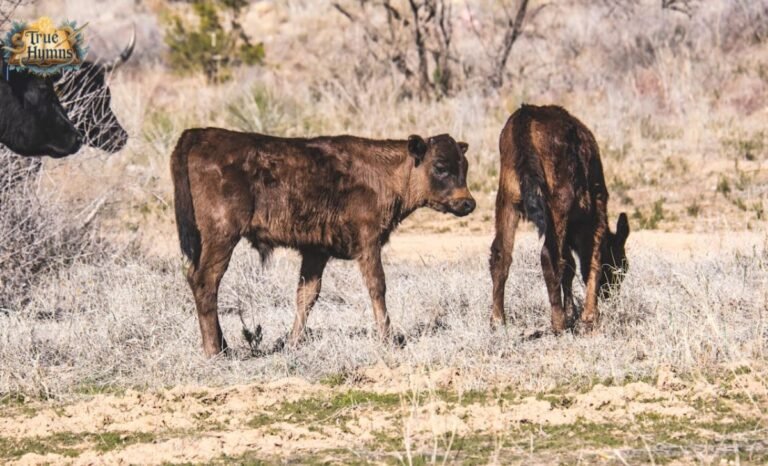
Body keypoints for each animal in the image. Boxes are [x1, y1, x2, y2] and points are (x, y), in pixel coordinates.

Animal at [171, 128, 475, 357]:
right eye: (440, 166)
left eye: (465, 166)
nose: (468, 203)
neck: (386, 172)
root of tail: (198, 134)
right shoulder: (368, 242)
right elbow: (377, 287)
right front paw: (388, 339)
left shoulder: (316, 252)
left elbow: (306, 295)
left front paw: (293, 343)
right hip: (221, 237)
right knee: (205, 281)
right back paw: (215, 351)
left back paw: (223, 346)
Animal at [489, 105, 629, 334]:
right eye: (620, 266)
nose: (609, 293)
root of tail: (524, 116)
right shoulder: (597, 207)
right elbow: (592, 260)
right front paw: (588, 318)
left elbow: (569, 266)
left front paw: (572, 312)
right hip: (558, 201)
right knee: (549, 256)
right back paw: (558, 324)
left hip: (507, 200)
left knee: (501, 255)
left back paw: (498, 321)